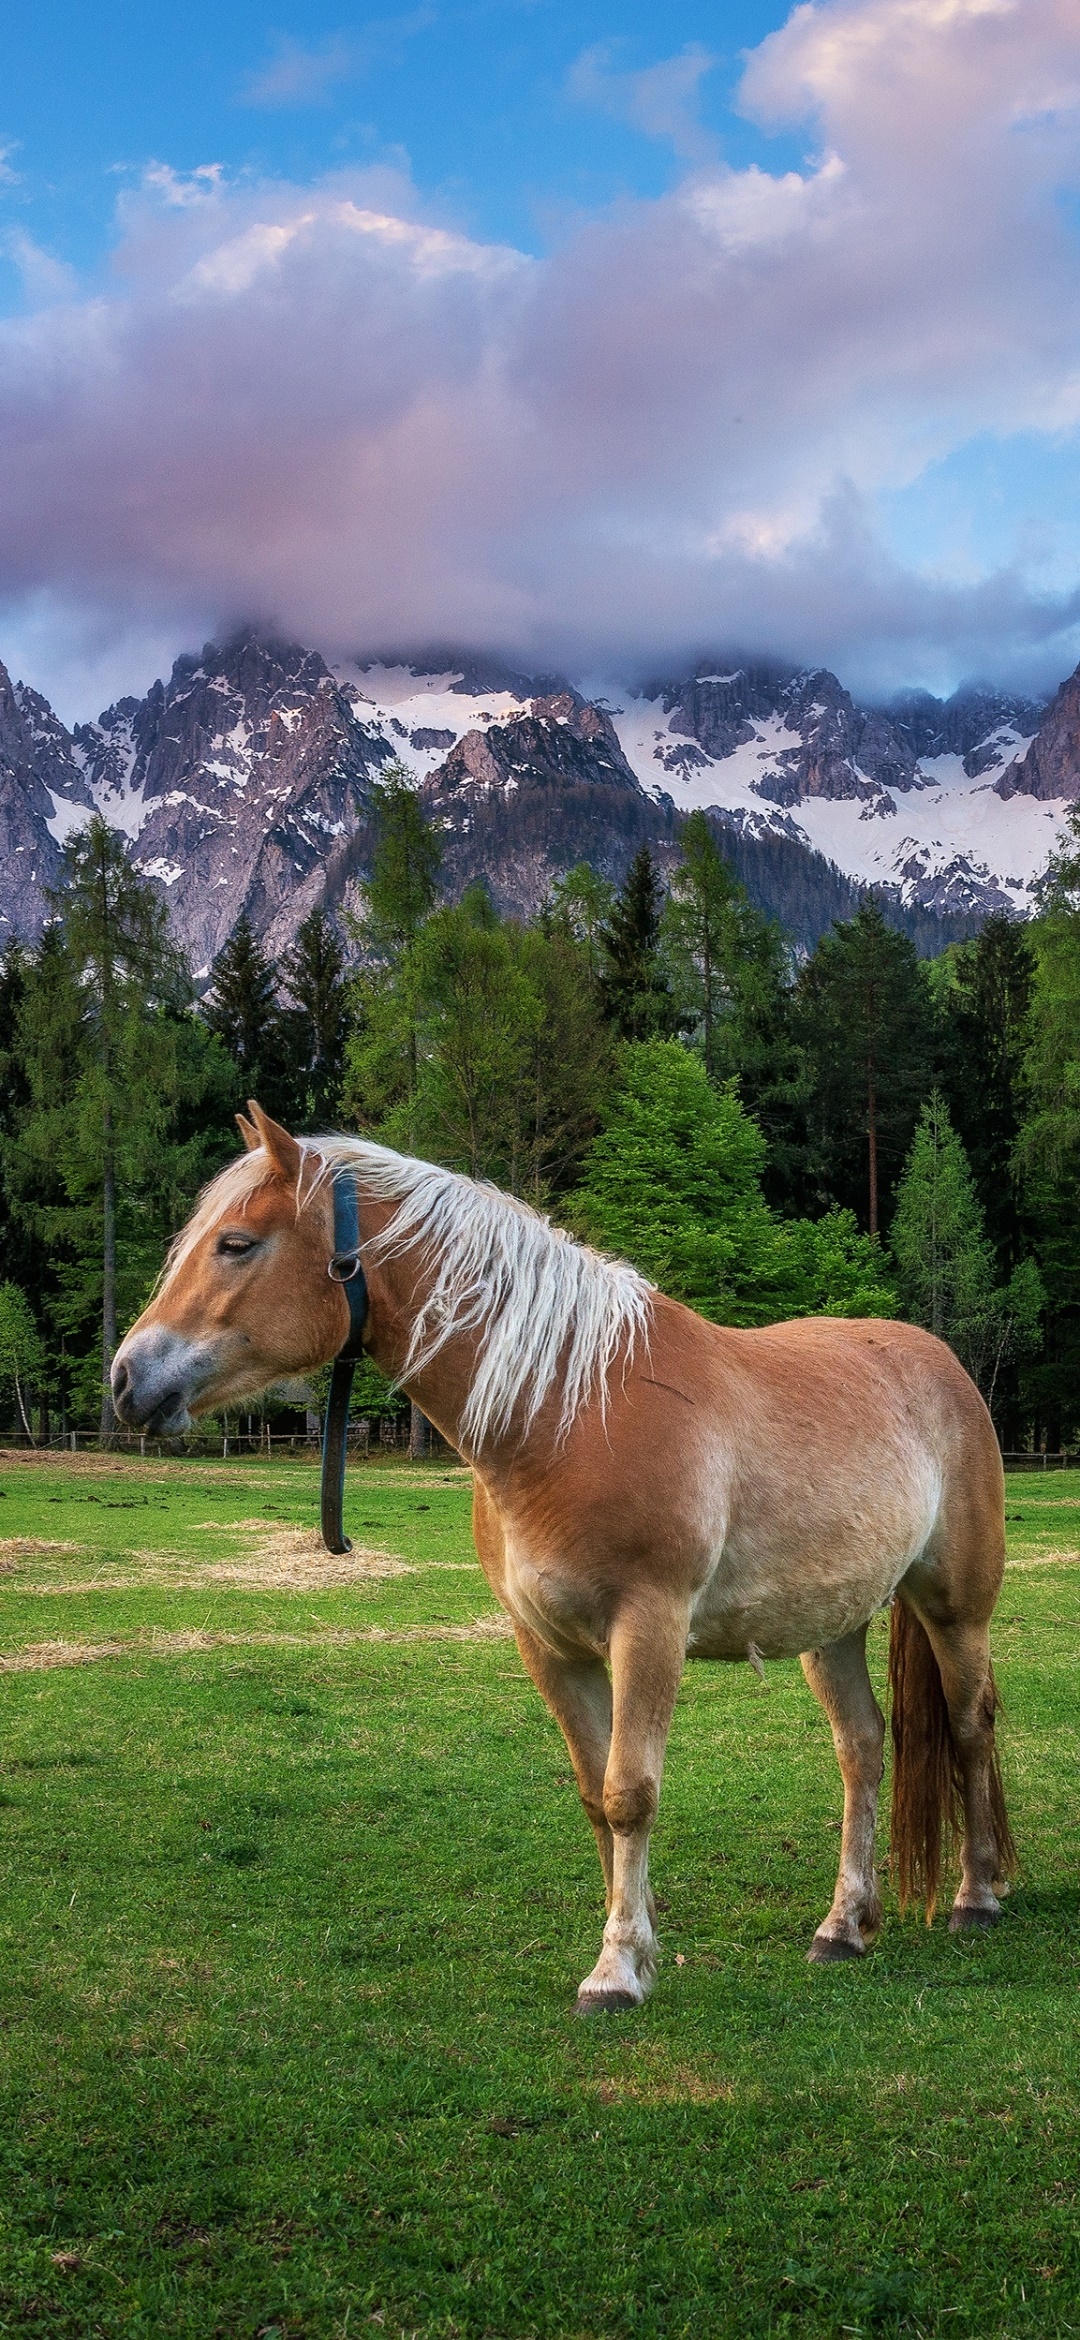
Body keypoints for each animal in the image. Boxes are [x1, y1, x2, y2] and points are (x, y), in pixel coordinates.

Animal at [111, 1102, 1014, 2011]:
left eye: (236, 1243)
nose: (126, 1381)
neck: (567, 1413)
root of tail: (940, 1363)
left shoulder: (648, 1630)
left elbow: (630, 1794)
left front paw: (615, 1971)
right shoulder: (548, 1645)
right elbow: (593, 1795)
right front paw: (636, 1946)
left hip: (954, 1610)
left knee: (970, 1725)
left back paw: (976, 1895)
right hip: (830, 1628)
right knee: (861, 1749)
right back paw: (844, 1925)